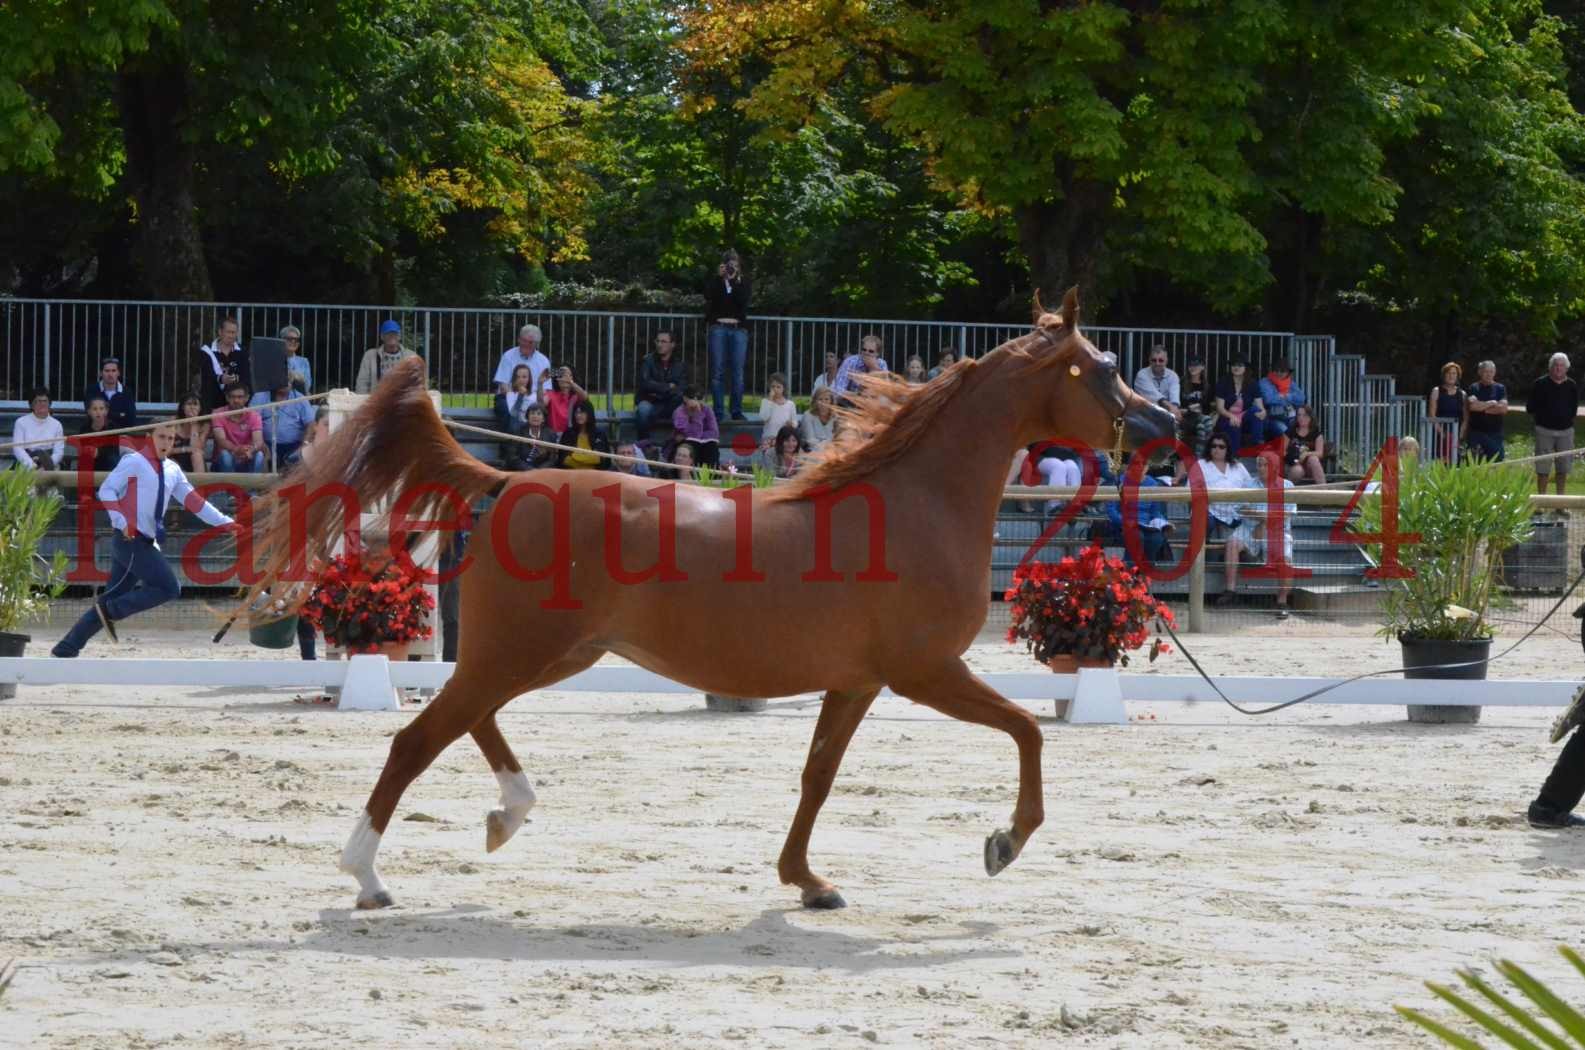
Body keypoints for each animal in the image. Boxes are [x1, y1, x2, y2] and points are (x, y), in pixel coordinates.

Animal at [250, 285, 1179, 913]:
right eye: (1101, 369)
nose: (1167, 425)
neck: (917, 503)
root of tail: (507, 481)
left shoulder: (857, 681)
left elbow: (816, 775)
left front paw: (807, 881)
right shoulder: (926, 671)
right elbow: (1027, 731)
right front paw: (1002, 843)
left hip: (550, 652)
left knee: (469, 721)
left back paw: (505, 816)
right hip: (522, 650)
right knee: (419, 738)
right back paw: (368, 875)